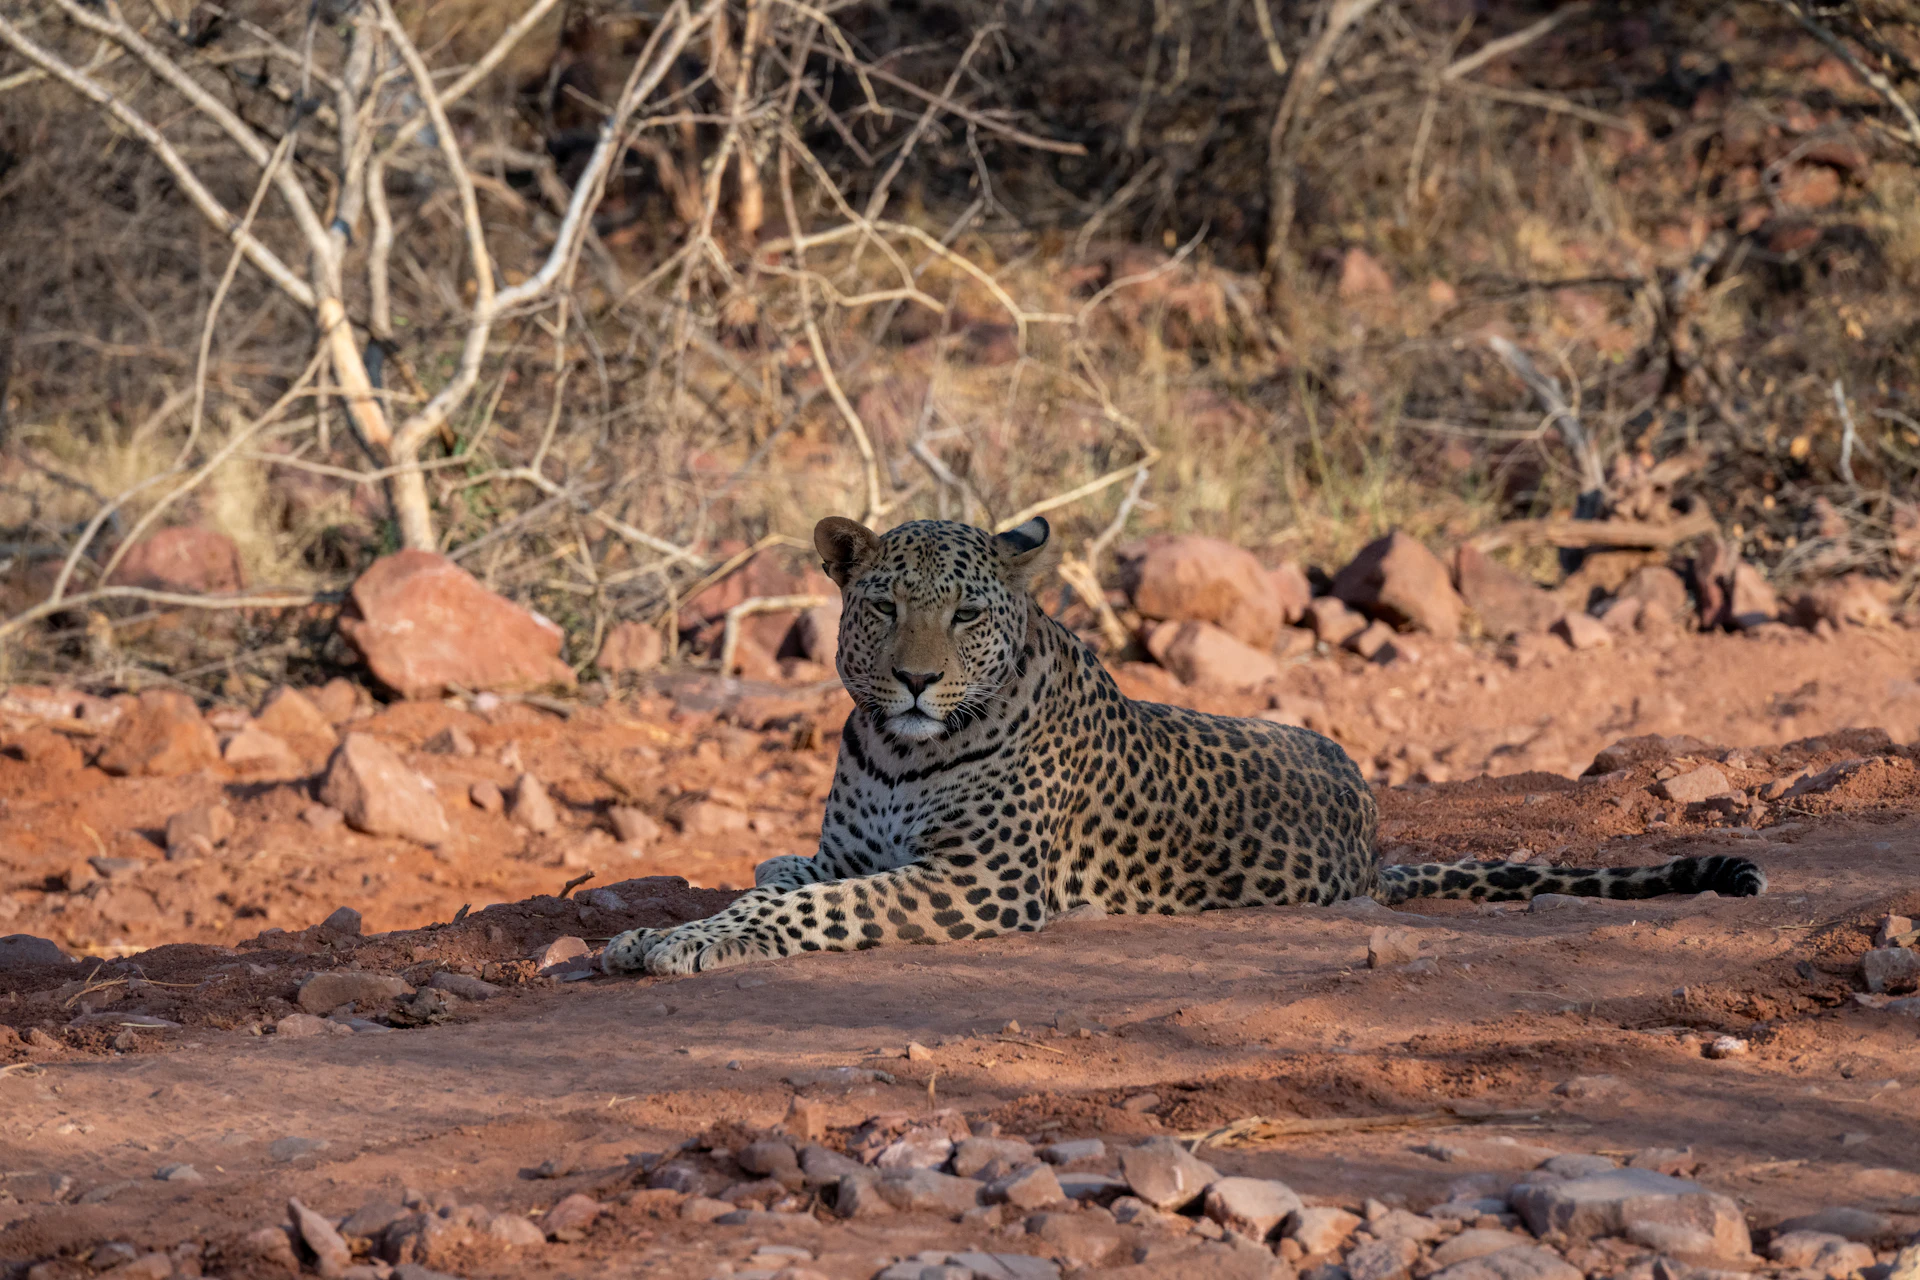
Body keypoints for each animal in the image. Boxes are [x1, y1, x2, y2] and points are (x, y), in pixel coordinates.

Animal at [603, 515, 1765, 976]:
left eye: (967, 615)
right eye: (883, 606)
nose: (917, 679)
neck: (898, 747)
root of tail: (1374, 841)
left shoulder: (978, 881)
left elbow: (807, 909)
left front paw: (683, 942)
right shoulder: (860, 848)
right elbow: (790, 879)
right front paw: (649, 931)